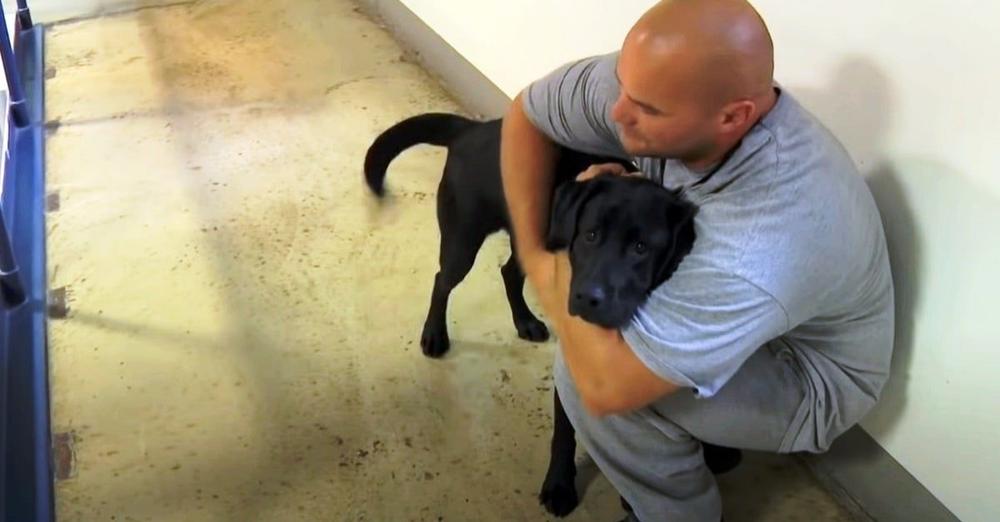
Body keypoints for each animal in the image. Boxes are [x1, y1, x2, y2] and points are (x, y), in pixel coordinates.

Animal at [364, 111, 732, 512]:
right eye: (589, 235)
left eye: (640, 248)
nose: (587, 298)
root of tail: (472, 128)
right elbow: (564, 432)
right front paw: (559, 484)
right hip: (463, 239)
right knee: (441, 281)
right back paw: (434, 334)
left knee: (509, 272)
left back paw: (524, 321)